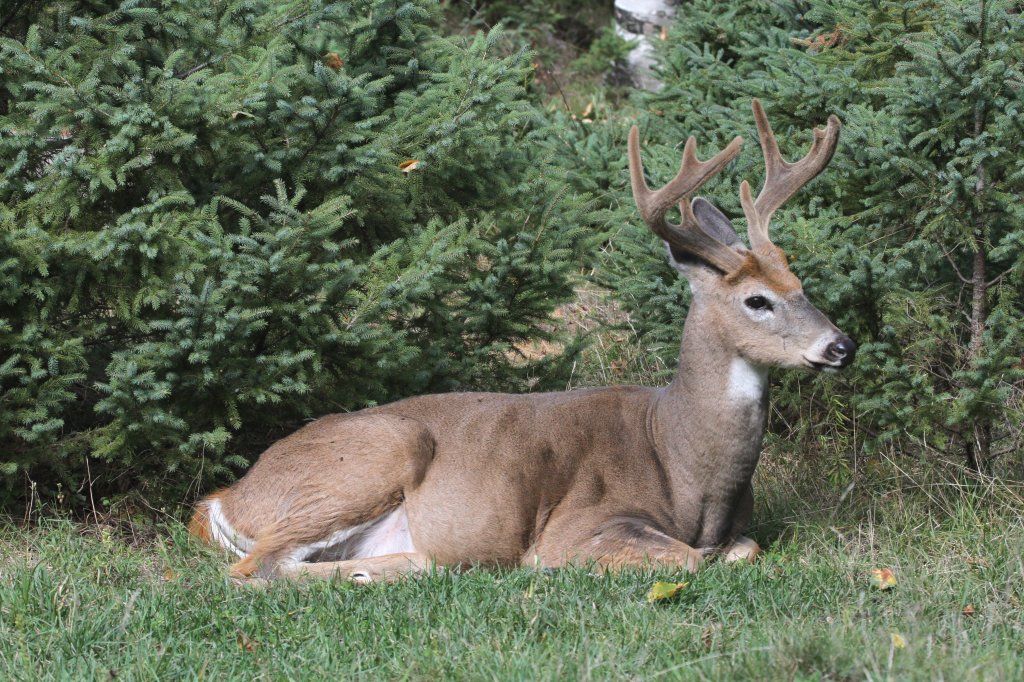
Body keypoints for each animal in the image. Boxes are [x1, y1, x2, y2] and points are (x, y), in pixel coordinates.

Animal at [192, 99, 856, 577]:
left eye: (801, 282)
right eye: (757, 300)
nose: (841, 346)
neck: (683, 459)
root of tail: (226, 499)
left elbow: (746, 550)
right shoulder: (580, 525)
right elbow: (696, 560)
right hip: (375, 455)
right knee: (252, 572)